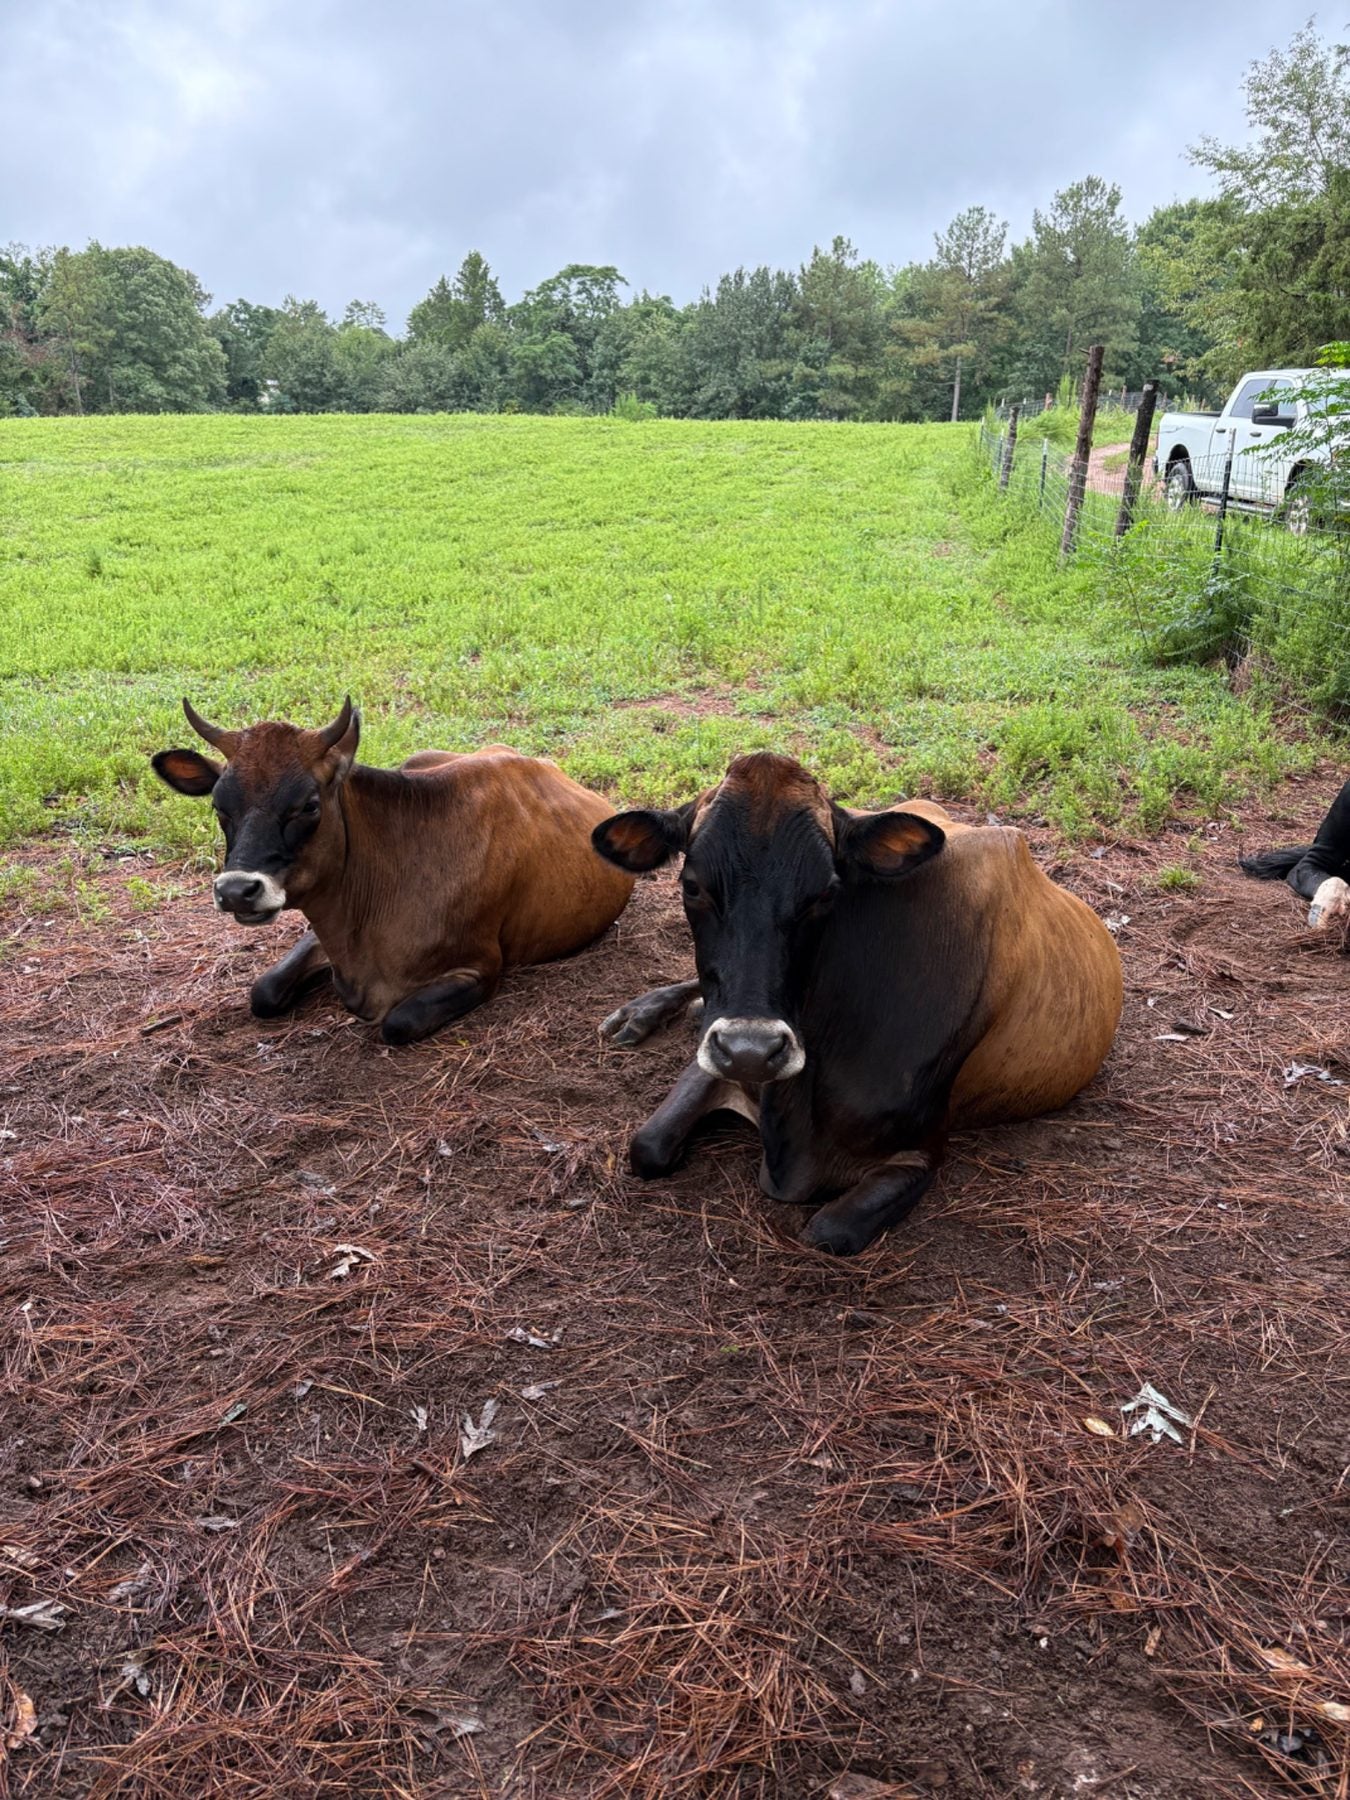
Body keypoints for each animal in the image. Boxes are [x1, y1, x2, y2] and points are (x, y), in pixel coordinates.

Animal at [151, 698, 634, 1043]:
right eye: (218, 806)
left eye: (308, 805)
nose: (237, 890)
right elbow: (263, 991)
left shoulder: (480, 967)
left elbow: (398, 1022)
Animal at [592, 753, 1122, 1255]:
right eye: (692, 885)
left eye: (826, 891)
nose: (751, 1049)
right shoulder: (716, 1060)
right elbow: (647, 1146)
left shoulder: (919, 1150)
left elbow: (828, 1231)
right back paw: (641, 1012)